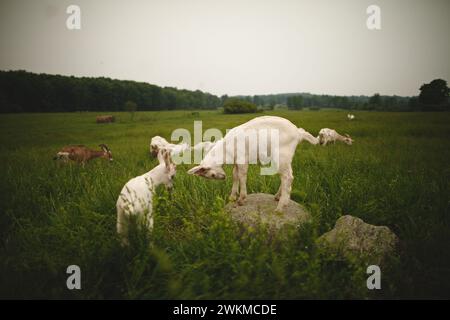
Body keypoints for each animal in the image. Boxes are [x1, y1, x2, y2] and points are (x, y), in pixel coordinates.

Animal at [188, 115, 318, 212]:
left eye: (212, 175)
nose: (223, 177)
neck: (226, 149)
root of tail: (299, 133)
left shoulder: (242, 159)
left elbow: (242, 176)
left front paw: (241, 199)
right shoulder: (237, 161)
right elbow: (235, 175)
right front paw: (232, 197)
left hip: (281, 155)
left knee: (287, 177)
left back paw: (280, 207)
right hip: (286, 158)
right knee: (288, 176)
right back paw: (278, 197)